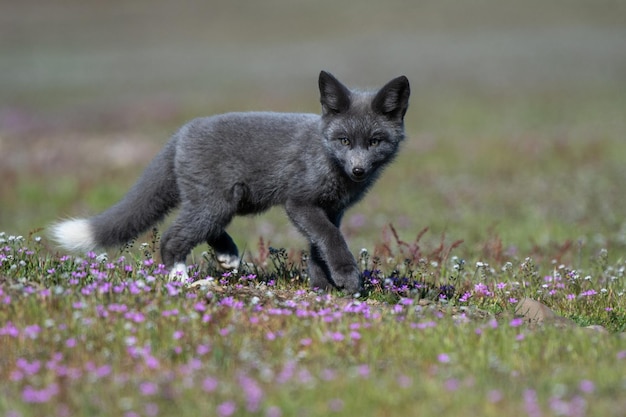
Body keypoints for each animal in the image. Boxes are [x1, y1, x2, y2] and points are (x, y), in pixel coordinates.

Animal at [51, 71, 408, 292]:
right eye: (344, 141)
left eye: (375, 141)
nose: (358, 171)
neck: (326, 154)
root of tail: (182, 132)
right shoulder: (300, 202)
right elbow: (331, 240)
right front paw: (347, 278)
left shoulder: (332, 210)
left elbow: (318, 248)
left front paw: (324, 287)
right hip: (217, 203)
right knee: (171, 238)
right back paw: (180, 279)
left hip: (224, 202)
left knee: (201, 230)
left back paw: (228, 256)